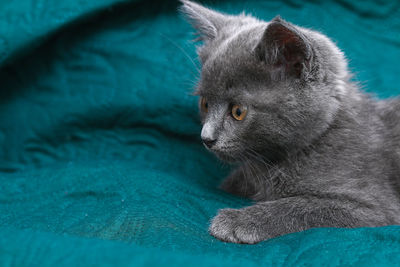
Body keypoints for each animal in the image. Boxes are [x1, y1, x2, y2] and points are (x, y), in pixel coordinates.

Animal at [180, 0, 400, 245]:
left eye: (238, 111)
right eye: (205, 104)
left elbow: (304, 206)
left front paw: (239, 221)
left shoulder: (375, 206)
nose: (206, 138)